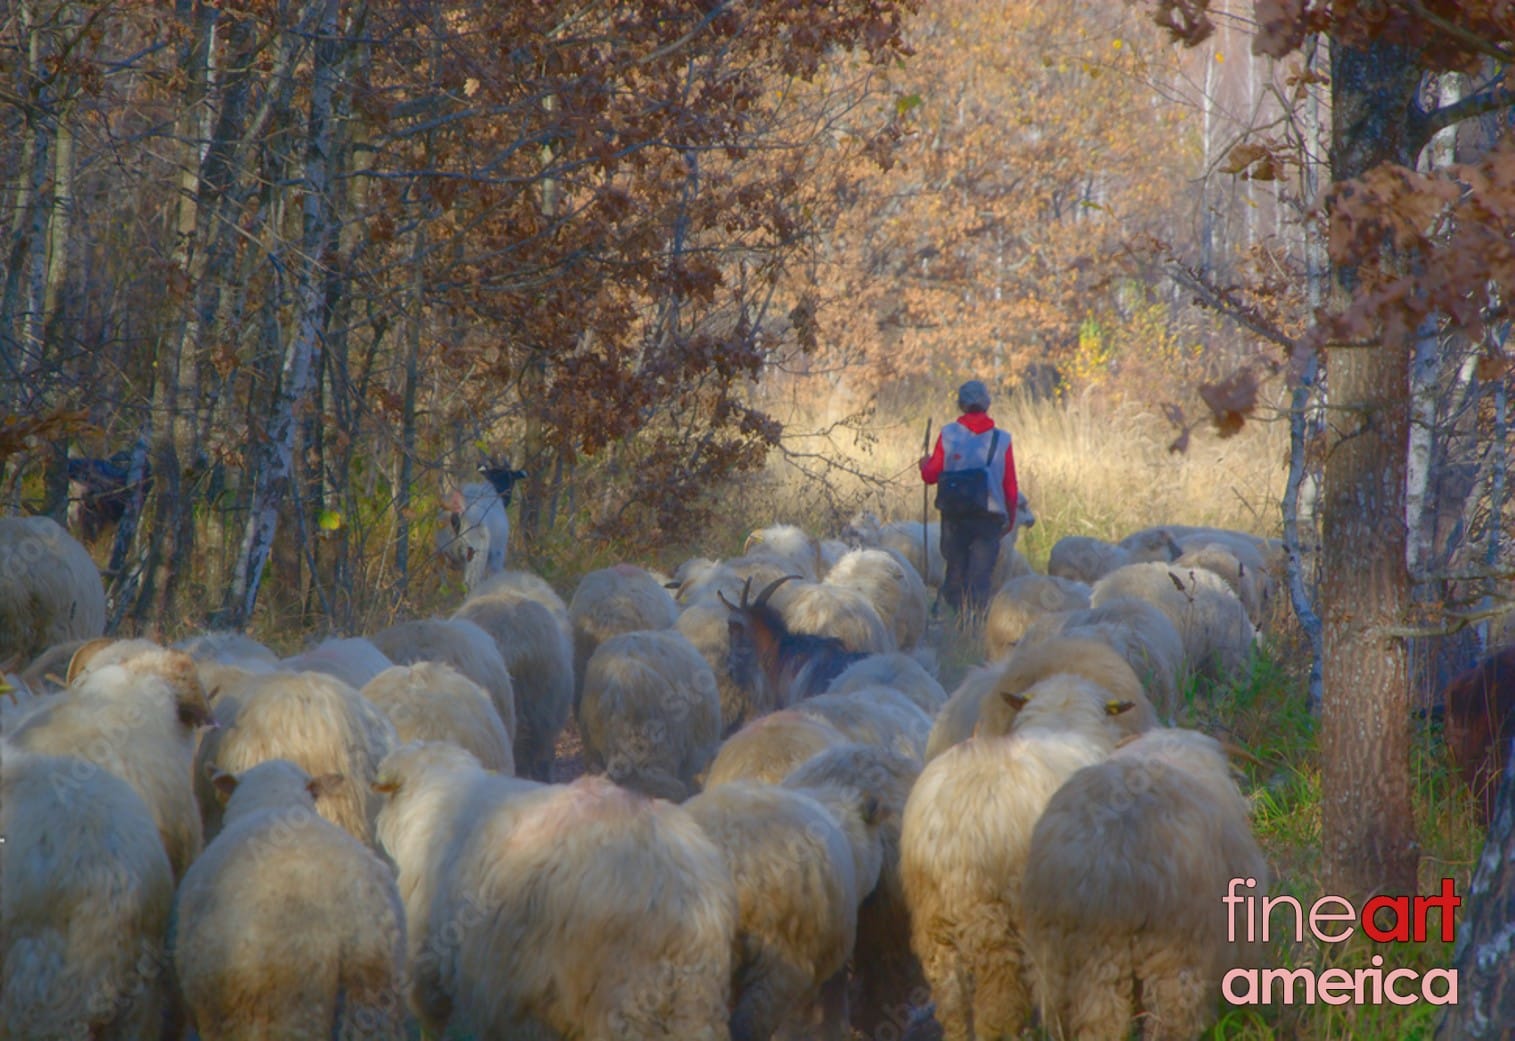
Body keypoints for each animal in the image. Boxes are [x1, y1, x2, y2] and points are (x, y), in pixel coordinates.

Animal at [437, 461, 527, 591]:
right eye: (511, 478)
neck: (494, 488)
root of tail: (457, 512)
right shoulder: (497, 554)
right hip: (476, 553)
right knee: (470, 584)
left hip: (444, 551)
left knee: (443, 583)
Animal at [900, 695, 1122, 1041]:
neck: (1063, 721)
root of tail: (949, 819)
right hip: (995, 914)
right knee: (997, 1007)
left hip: (932, 915)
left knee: (951, 1000)